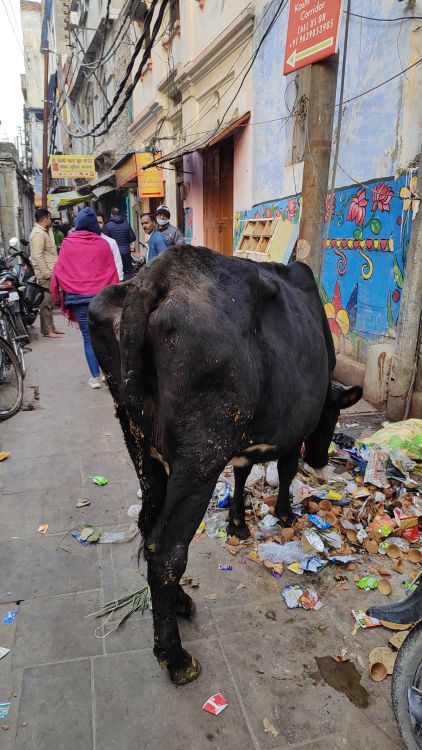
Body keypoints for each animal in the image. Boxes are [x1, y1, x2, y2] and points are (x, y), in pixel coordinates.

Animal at [89, 247, 360, 688]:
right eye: (334, 412)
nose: (320, 459)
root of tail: (155, 277)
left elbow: (242, 473)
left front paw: (236, 523)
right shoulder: (292, 431)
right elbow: (285, 470)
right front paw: (285, 514)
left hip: (138, 440)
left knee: (148, 524)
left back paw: (180, 602)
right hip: (201, 454)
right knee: (166, 549)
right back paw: (175, 656)